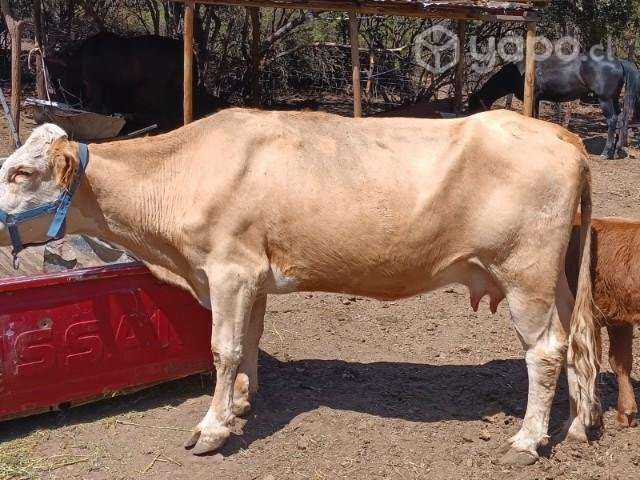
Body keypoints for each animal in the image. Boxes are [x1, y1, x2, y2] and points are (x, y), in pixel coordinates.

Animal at [0, 108, 600, 464]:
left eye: (20, 173)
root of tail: (561, 134)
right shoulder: (253, 277)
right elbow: (247, 342)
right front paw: (241, 406)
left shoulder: (229, 270)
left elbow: (222, 348)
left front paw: (212, 428)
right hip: (554, 277)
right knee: (576, 342)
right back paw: (576, 423)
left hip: (524, 273)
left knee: (544, 351)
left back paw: (527, 439)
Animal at [45, 32, 217, 128]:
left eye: (60, 78)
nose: (59, 96)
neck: (78, 61)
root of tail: (190, 52)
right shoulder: (108, 84)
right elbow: (106, 105)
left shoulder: (95, 82)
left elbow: (95, 105)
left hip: (161, 85)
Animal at [566, 217, 640, 427]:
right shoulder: (620, 320)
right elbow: (620, 361)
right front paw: (627, 413)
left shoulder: (593, 318)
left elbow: (595, 362)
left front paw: (592, 414)